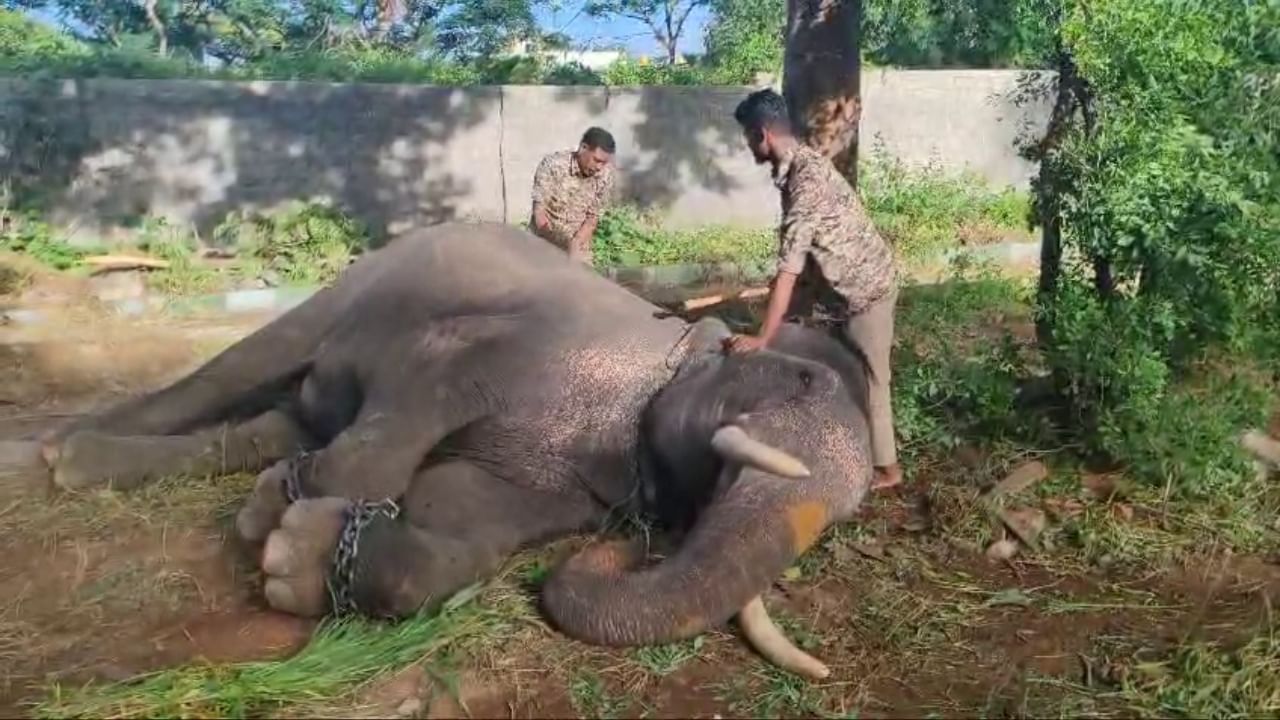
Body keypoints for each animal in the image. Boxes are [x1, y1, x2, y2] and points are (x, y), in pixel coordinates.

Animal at [42, 221, 880, 676]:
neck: (669, 353)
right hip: (367, 281)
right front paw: (279, 509)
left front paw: (292, 558)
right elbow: (422, 392)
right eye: (802, 380)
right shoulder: (504, 348)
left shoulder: (575, 479)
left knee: (277, 421)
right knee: (248, 365)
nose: (625, 548)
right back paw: (61, 456)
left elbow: (465, 517)